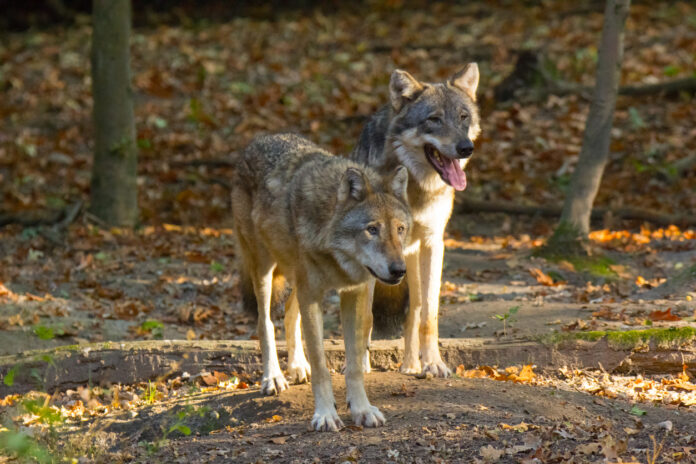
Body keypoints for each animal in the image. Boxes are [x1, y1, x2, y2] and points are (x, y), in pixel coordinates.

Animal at [231, 132, 410, 430]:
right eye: (372, 229)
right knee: (264, 322)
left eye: (400, 229)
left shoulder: (353, 295)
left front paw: (361, 410)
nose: (399, 270)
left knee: (289, 313)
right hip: (264, 269)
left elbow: (354, 365)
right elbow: (321, 366)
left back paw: (296, 367)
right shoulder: (312, 295)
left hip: (296, 279)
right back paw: (273, 377)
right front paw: (326, 414)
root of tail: (259, 140)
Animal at [354, 63, 478, 378]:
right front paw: (359, 365)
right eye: (434, 119)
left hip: (413, 257)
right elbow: (365, 315)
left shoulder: (434, 243)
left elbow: (428, 314)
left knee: (416, 309)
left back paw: (411, 365)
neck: (415, 188)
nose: (466, 147)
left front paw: (434, 363)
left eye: (463, 117)